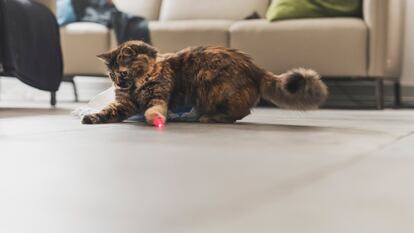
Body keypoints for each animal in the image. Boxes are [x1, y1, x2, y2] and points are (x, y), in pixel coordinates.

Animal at [80, 41, 326, 126]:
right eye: (112, 75)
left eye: (124, 72)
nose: (120, 83)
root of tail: (256, 68)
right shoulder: (123, 104)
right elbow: (107, 112)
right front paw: (92, 117)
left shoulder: (157, 96)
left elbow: (154, 109)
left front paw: (156, 119)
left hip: (210, 87)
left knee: (240, 113)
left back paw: (209, 118)